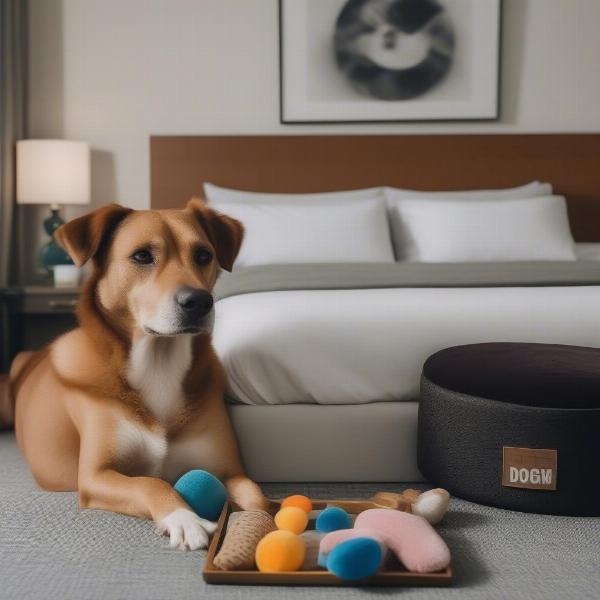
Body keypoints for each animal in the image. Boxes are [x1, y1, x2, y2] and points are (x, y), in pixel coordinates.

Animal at [1, 197, 268, 548]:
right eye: (142, 256)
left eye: (203, 255)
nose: (199, 302)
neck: (159, 363)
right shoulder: (97, 476)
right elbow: (149, 483)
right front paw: (183, 518)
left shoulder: (231, 470)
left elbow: (257, 496)